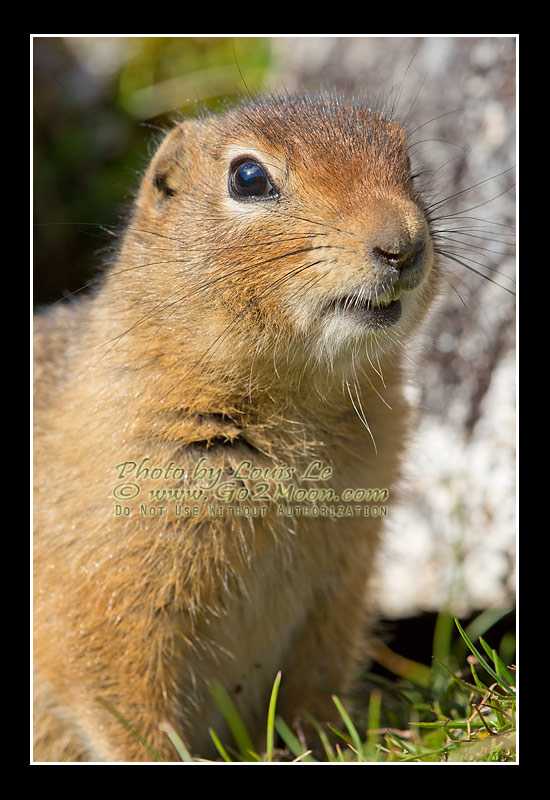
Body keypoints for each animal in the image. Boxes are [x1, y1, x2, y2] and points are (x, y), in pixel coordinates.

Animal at [33, 93, 440, 761]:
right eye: (248, 177)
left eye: (408, 164)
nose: (403, 245)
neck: (295, 403)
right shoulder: (111, 591)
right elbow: (121, 698)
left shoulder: (342, 583)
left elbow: (316, 681)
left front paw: (333, 744)